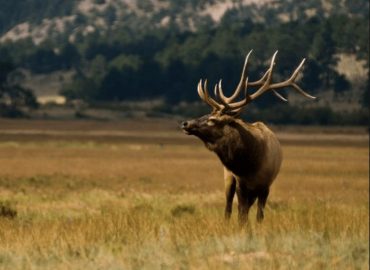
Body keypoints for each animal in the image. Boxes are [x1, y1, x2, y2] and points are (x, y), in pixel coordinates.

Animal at [181, 51, 316, 226]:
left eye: (212, 120)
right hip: (228, 178)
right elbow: (241, 214)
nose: (185, 123)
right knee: (228, 207)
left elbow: (259, 215)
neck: (250, 164)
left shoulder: (266, 185)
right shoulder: (241, 183)